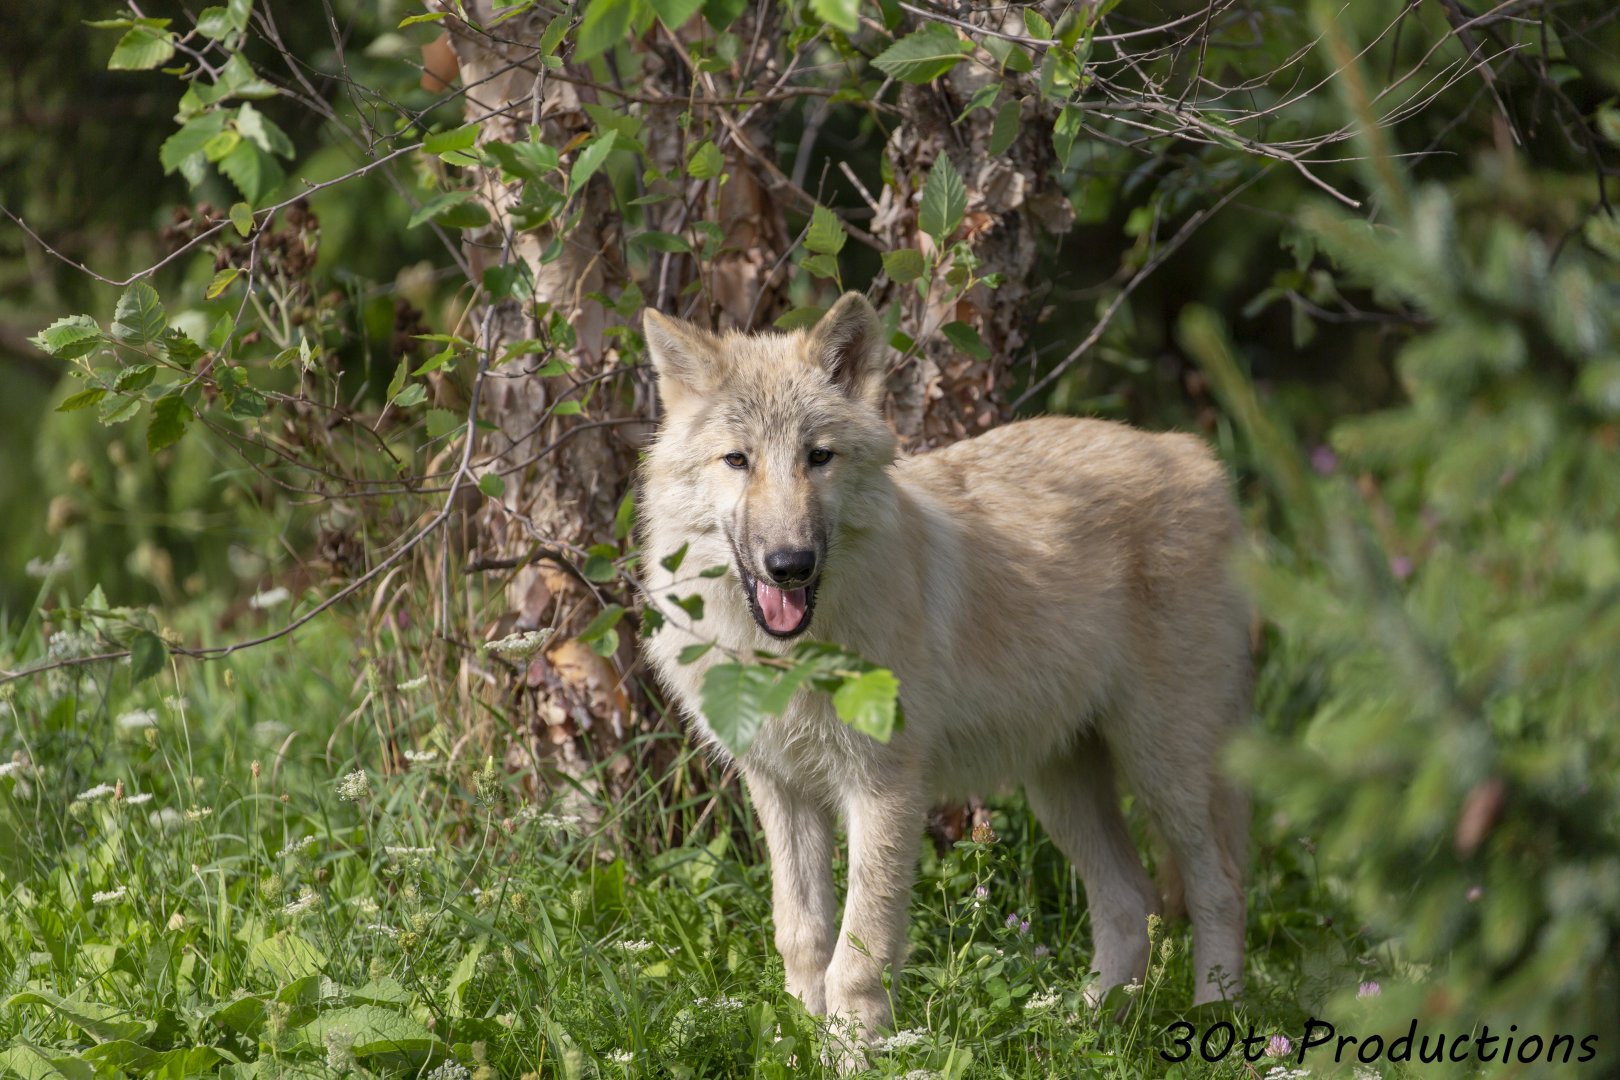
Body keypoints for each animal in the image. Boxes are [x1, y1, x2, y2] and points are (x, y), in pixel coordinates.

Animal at [638, 292, 1250, 1046]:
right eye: (737, 460)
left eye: (818, 457)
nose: (790, 564)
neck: (789, 658)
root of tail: (1192, 453)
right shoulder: (782, 789)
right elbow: (802, 938)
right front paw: (801, 1046)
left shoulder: (885, 790)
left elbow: (859, 955)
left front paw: (855, 1053)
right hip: (1061, 784)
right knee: (1131, 901)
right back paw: (1081, 1030)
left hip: (1163, 768)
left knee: (1220, 887)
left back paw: (1216, 1021)